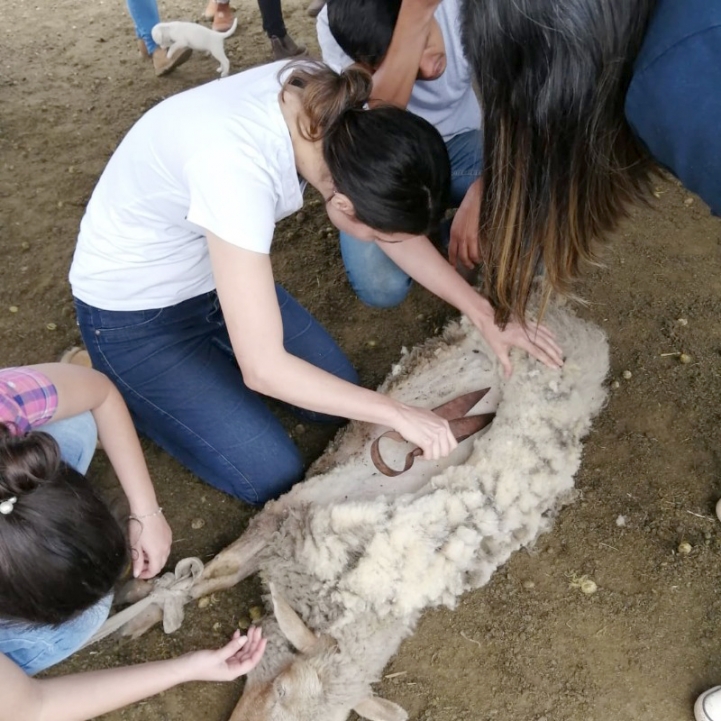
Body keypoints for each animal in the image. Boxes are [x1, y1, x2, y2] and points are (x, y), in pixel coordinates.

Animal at [111, 304, 608, 720]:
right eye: (282, 690)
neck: (357, 583)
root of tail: (577, 323)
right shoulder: (286, 514)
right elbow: (218, 573)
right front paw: (142, 607)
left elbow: (218, 575)